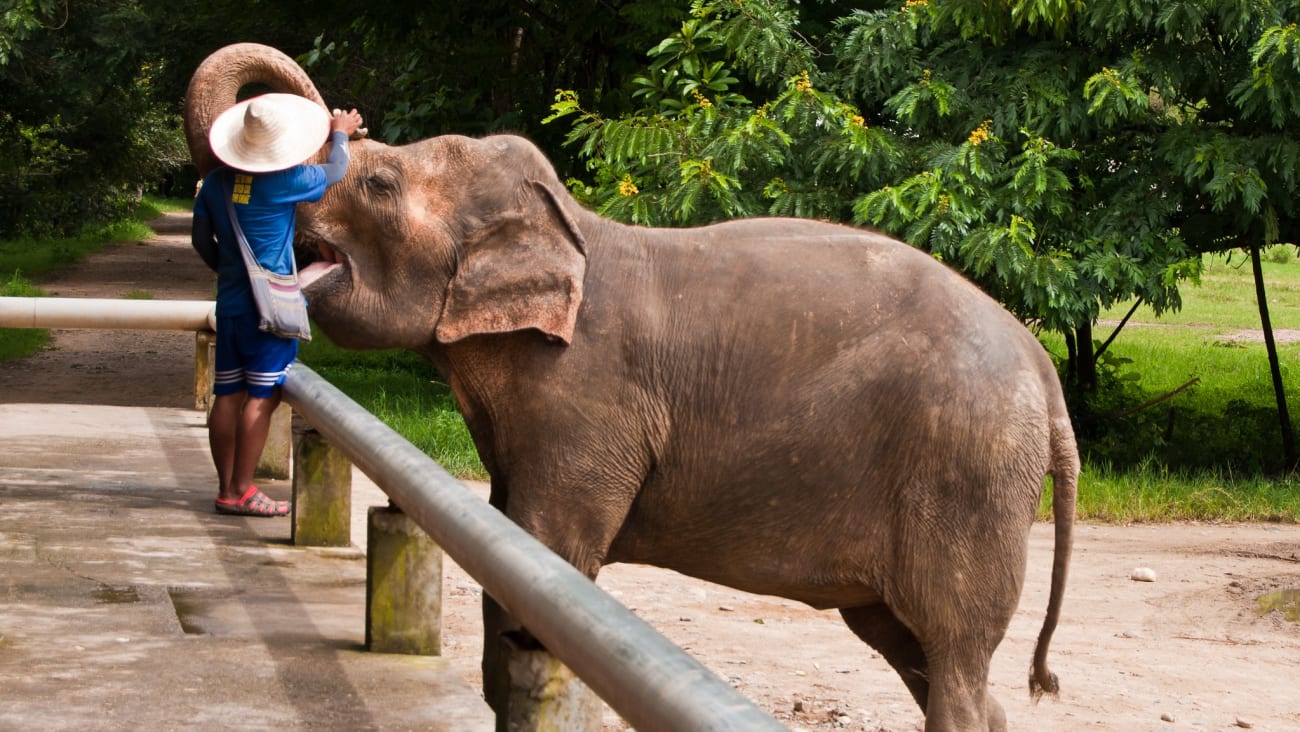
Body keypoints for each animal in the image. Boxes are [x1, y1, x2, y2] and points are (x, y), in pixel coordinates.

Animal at [183, 42, 1076, 728]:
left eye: (377, 185)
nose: (338, 123)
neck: (574, 227)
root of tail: (1044, 370)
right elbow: (513, 540)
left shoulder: (586, 396)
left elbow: (550, 550)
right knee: (916, 651)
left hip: (967, 476)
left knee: (954, 653)